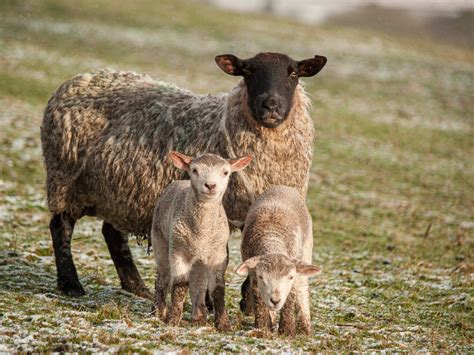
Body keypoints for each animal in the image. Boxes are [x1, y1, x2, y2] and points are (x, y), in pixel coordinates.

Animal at [40, 52, 326, 298]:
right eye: (248, 71)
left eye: (293, 73)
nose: (271, 105)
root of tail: (79, 79)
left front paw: (248, 298)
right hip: (66, 179)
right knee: (61, 226)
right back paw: (71, 284)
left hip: (120, 189)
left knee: (111, 232)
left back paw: (136, 286)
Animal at [152, 152, 252, 330]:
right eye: (194, 170)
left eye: (226, 172)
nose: (210, 185)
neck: (201, 232)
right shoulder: (178, 252)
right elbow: (179, 286)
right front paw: (173, 320)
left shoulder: (218, 255)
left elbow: (218, 289)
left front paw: (223, 324)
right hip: (161, 242)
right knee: (163, 279)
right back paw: (160, 312)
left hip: (200, 259)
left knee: (198, 283)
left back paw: (198, 316)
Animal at [235, 186, 320, 336]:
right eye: (261, 277)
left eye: (290, 277)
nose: (275, 300)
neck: (272, 238)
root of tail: (282, 187)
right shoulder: (253, 274)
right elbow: (258, 297)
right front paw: (262, 327)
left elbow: (291, 296)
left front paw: (287, 330)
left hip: (306, 247)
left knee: (302, 287)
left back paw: (305, 327)